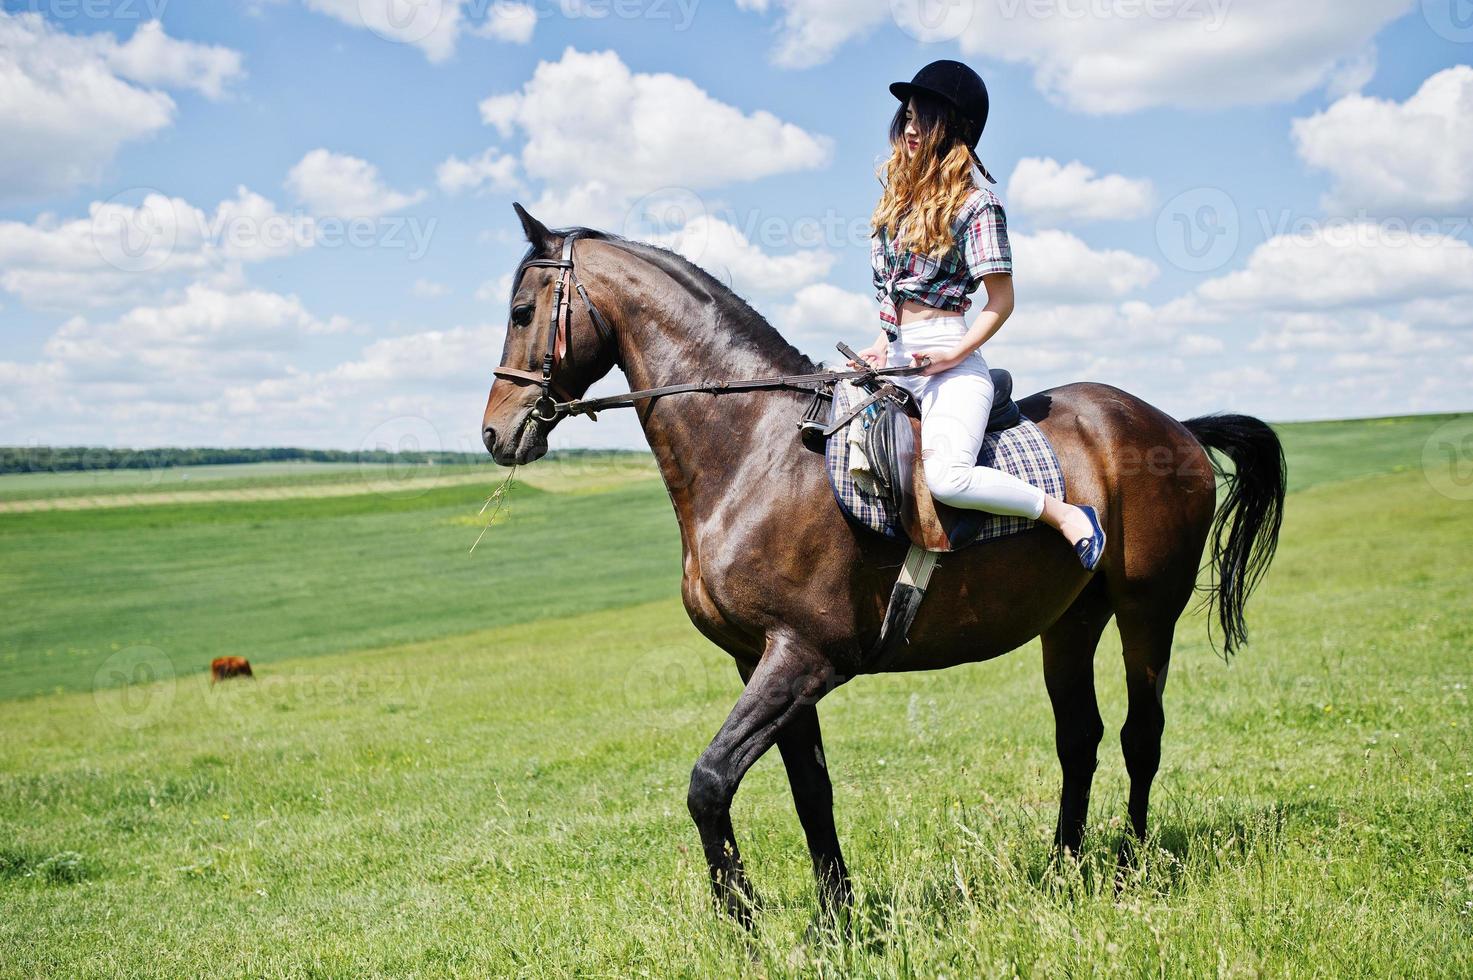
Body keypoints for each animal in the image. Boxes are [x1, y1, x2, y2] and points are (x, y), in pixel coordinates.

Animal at [486, 201, 1290, 919]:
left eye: (523, 312)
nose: (496, 433)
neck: (756, 449)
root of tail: (1172, 426)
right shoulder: (760, 661)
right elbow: (809, 790)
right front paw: (835, 920)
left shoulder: (802, 657)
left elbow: (709, 782)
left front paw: (743, 921)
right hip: (1070, 621)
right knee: (1079, 739)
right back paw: (1063, 869)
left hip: (1147, 612)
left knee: (1138, 735)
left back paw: (1125, 869)